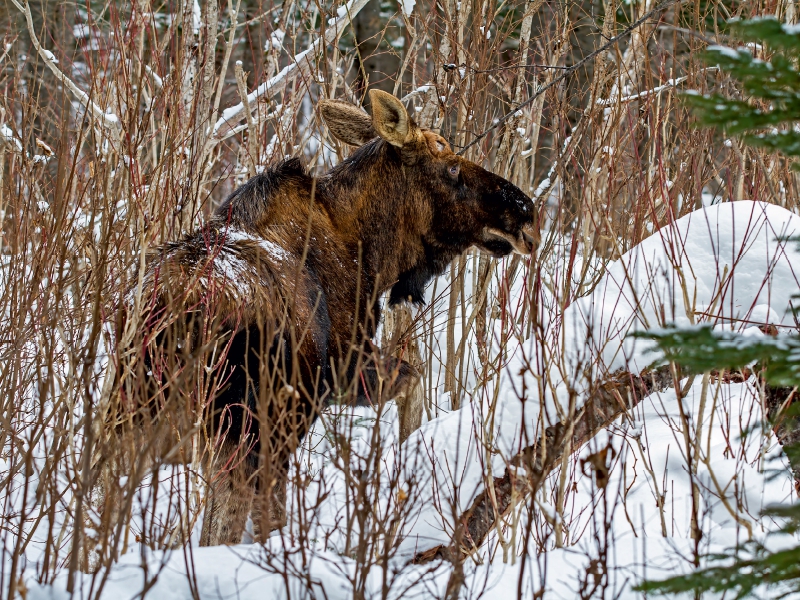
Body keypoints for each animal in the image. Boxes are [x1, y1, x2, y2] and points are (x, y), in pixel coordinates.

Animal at [109, 89, 536, 548]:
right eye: (450, 164)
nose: (525, 209)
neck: (373, 254)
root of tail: (170, 311)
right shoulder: (338, 370)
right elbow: (414, 379)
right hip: (248, 424)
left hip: (134, 413)